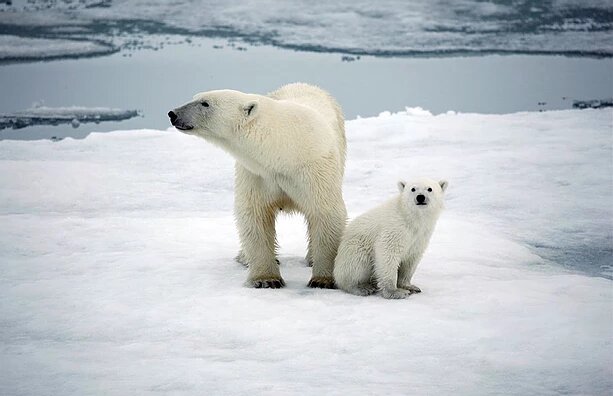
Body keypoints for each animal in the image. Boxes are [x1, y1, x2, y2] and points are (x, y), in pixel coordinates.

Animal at [170, 83, 346, 288]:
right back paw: (244, 257)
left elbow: (325, 212)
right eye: (195, 97)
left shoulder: (314, 168)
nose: (173, 113)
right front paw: (266, 279)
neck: (282, 151)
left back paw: (310, 257)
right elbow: (254, 213)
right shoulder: (256, 173)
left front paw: (322, 279)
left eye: (205, 103)